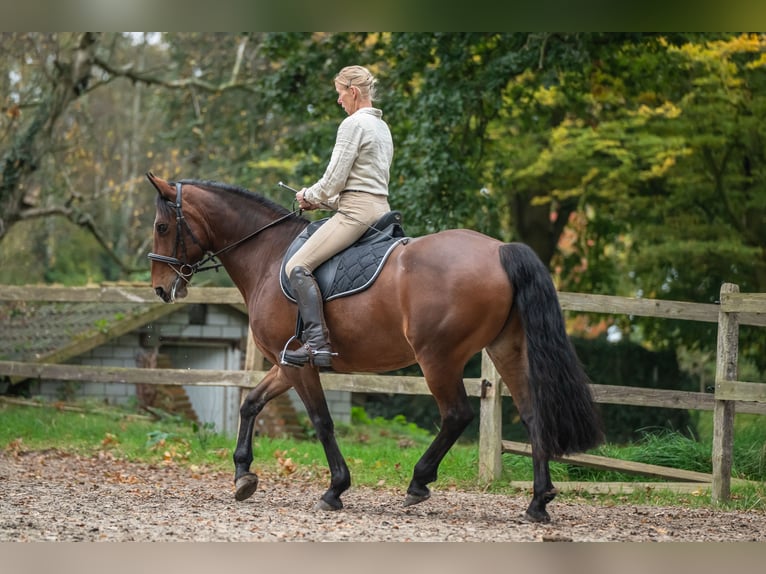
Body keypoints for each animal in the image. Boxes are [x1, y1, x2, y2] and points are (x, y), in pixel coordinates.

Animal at [148, 173, 608, 524]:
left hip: (438, 357)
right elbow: (251, 404)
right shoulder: (286, 361)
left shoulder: (300, 365)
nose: (161, 289)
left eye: (162, 227)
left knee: (456, 414)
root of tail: (499, 249)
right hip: (506, 349)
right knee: (532, 414)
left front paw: (335, 489)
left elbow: (322, 421)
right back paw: (538, 502)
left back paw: (419, 482)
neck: (268, 254)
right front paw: (243, 473)